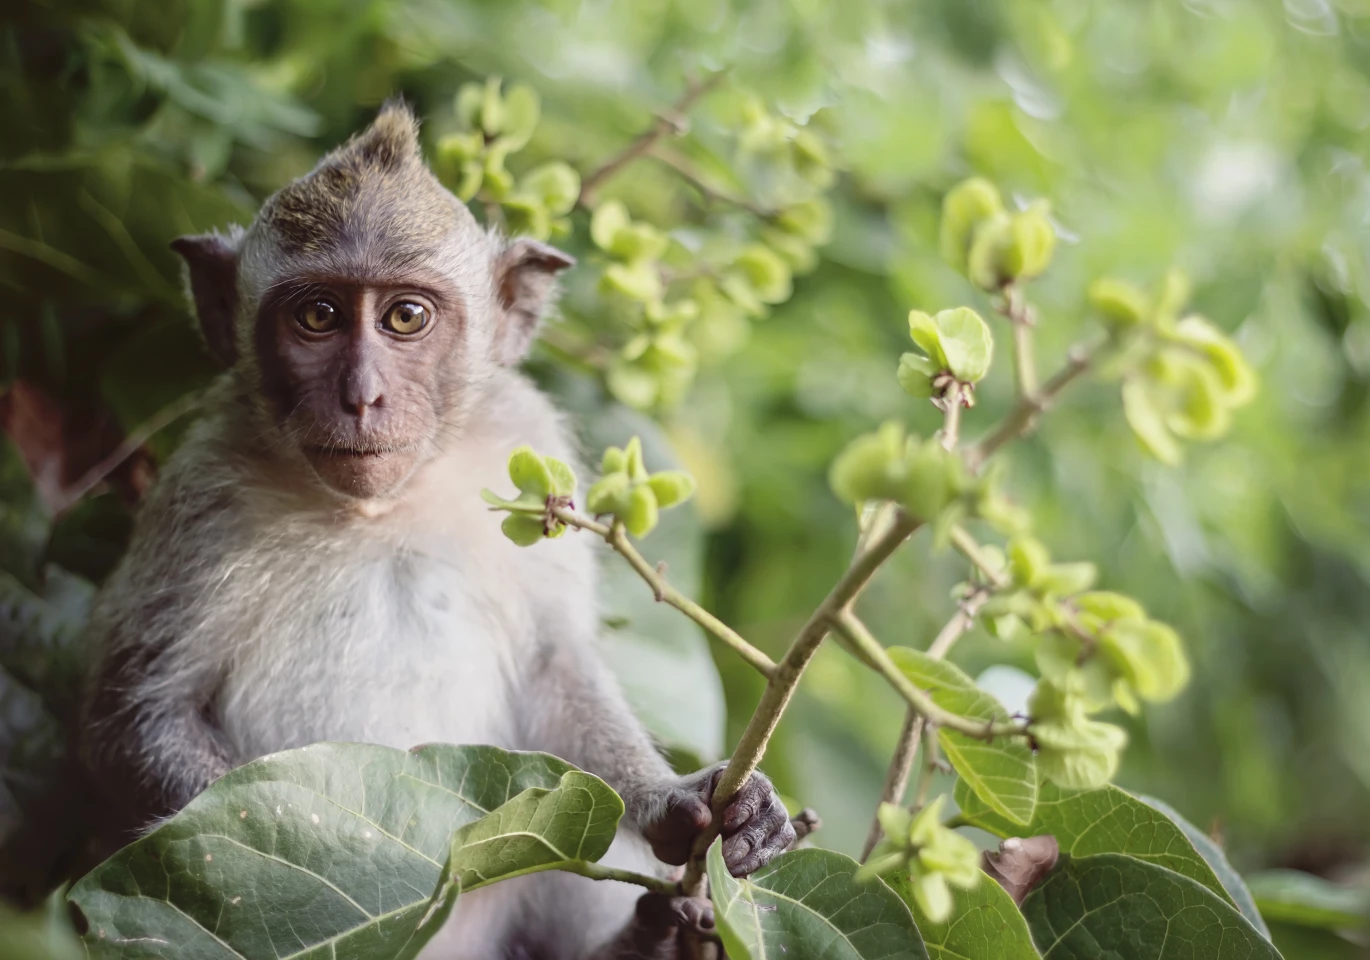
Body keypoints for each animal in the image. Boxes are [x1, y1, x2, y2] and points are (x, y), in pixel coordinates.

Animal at [77, 101, 795, 960]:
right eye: (318, 316)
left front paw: (685, 800)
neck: (383, 508)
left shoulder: (527, 439)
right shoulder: (201, 498)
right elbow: (138, 717)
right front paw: (329, 840)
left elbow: (554, 670)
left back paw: (645, 942)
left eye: (405, 317)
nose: (362, 396)